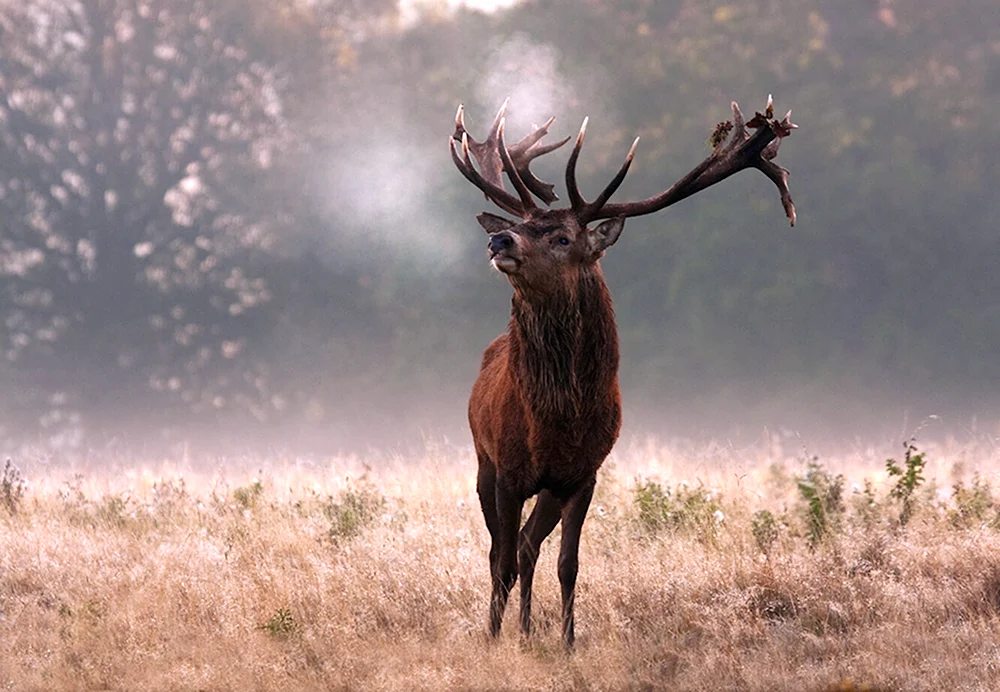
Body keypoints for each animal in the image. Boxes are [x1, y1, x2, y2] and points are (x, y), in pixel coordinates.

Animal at [452, 94, 796, 648]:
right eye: (523, 227)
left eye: (562, 237)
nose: (500, 240)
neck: (555, 420)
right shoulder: (506, 469)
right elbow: (499, 562)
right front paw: (492, 640)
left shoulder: (583, 473)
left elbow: (568, 564)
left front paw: (567, 644)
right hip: (482, 461)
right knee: (503, 552)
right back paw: (512, 630)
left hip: (550, 487)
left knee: (527, 545)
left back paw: (527, 632)